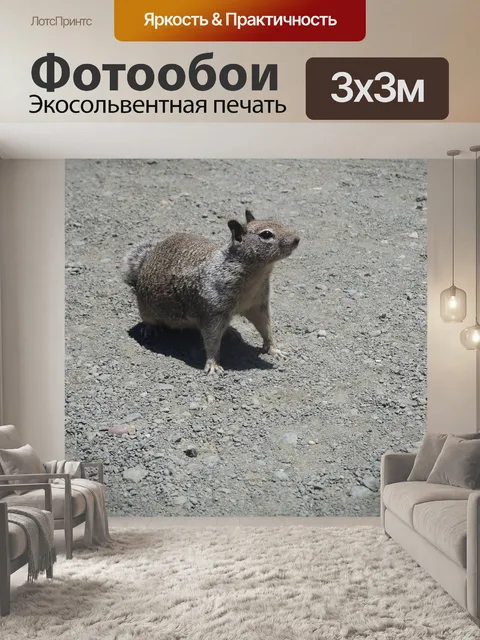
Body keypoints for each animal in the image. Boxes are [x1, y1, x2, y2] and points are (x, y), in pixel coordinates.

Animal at [122, 209, 300, 374]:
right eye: (266, 234)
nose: (297, 239)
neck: (257, 274)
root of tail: (145, 262)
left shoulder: (258, 305)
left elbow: (266, 328)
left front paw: (274, 349)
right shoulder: (213, 312)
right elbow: (212, 340)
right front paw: (213, 364)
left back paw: (230, 331)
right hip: (146, 309)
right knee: (149, 320)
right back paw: (150, 328)